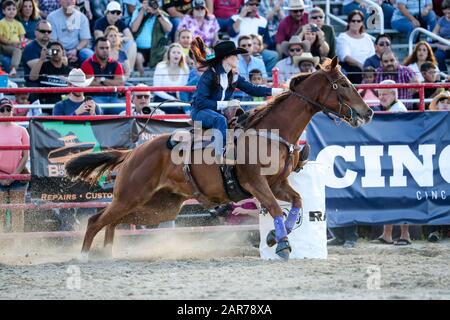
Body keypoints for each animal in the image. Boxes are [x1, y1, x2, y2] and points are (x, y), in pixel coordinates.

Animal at [64, 57, 372, 262]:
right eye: (342, 83)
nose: (367, 112)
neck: (271, 132)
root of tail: (132, 153)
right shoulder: (255, 182)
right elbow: (274, 207)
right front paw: (283, 244)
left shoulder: (278, 183)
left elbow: (296, 202)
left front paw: (276, 235)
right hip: (131, 196)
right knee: (96, 220)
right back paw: (83, 257)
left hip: (158, 207)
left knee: (113, 221)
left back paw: (106, 254)